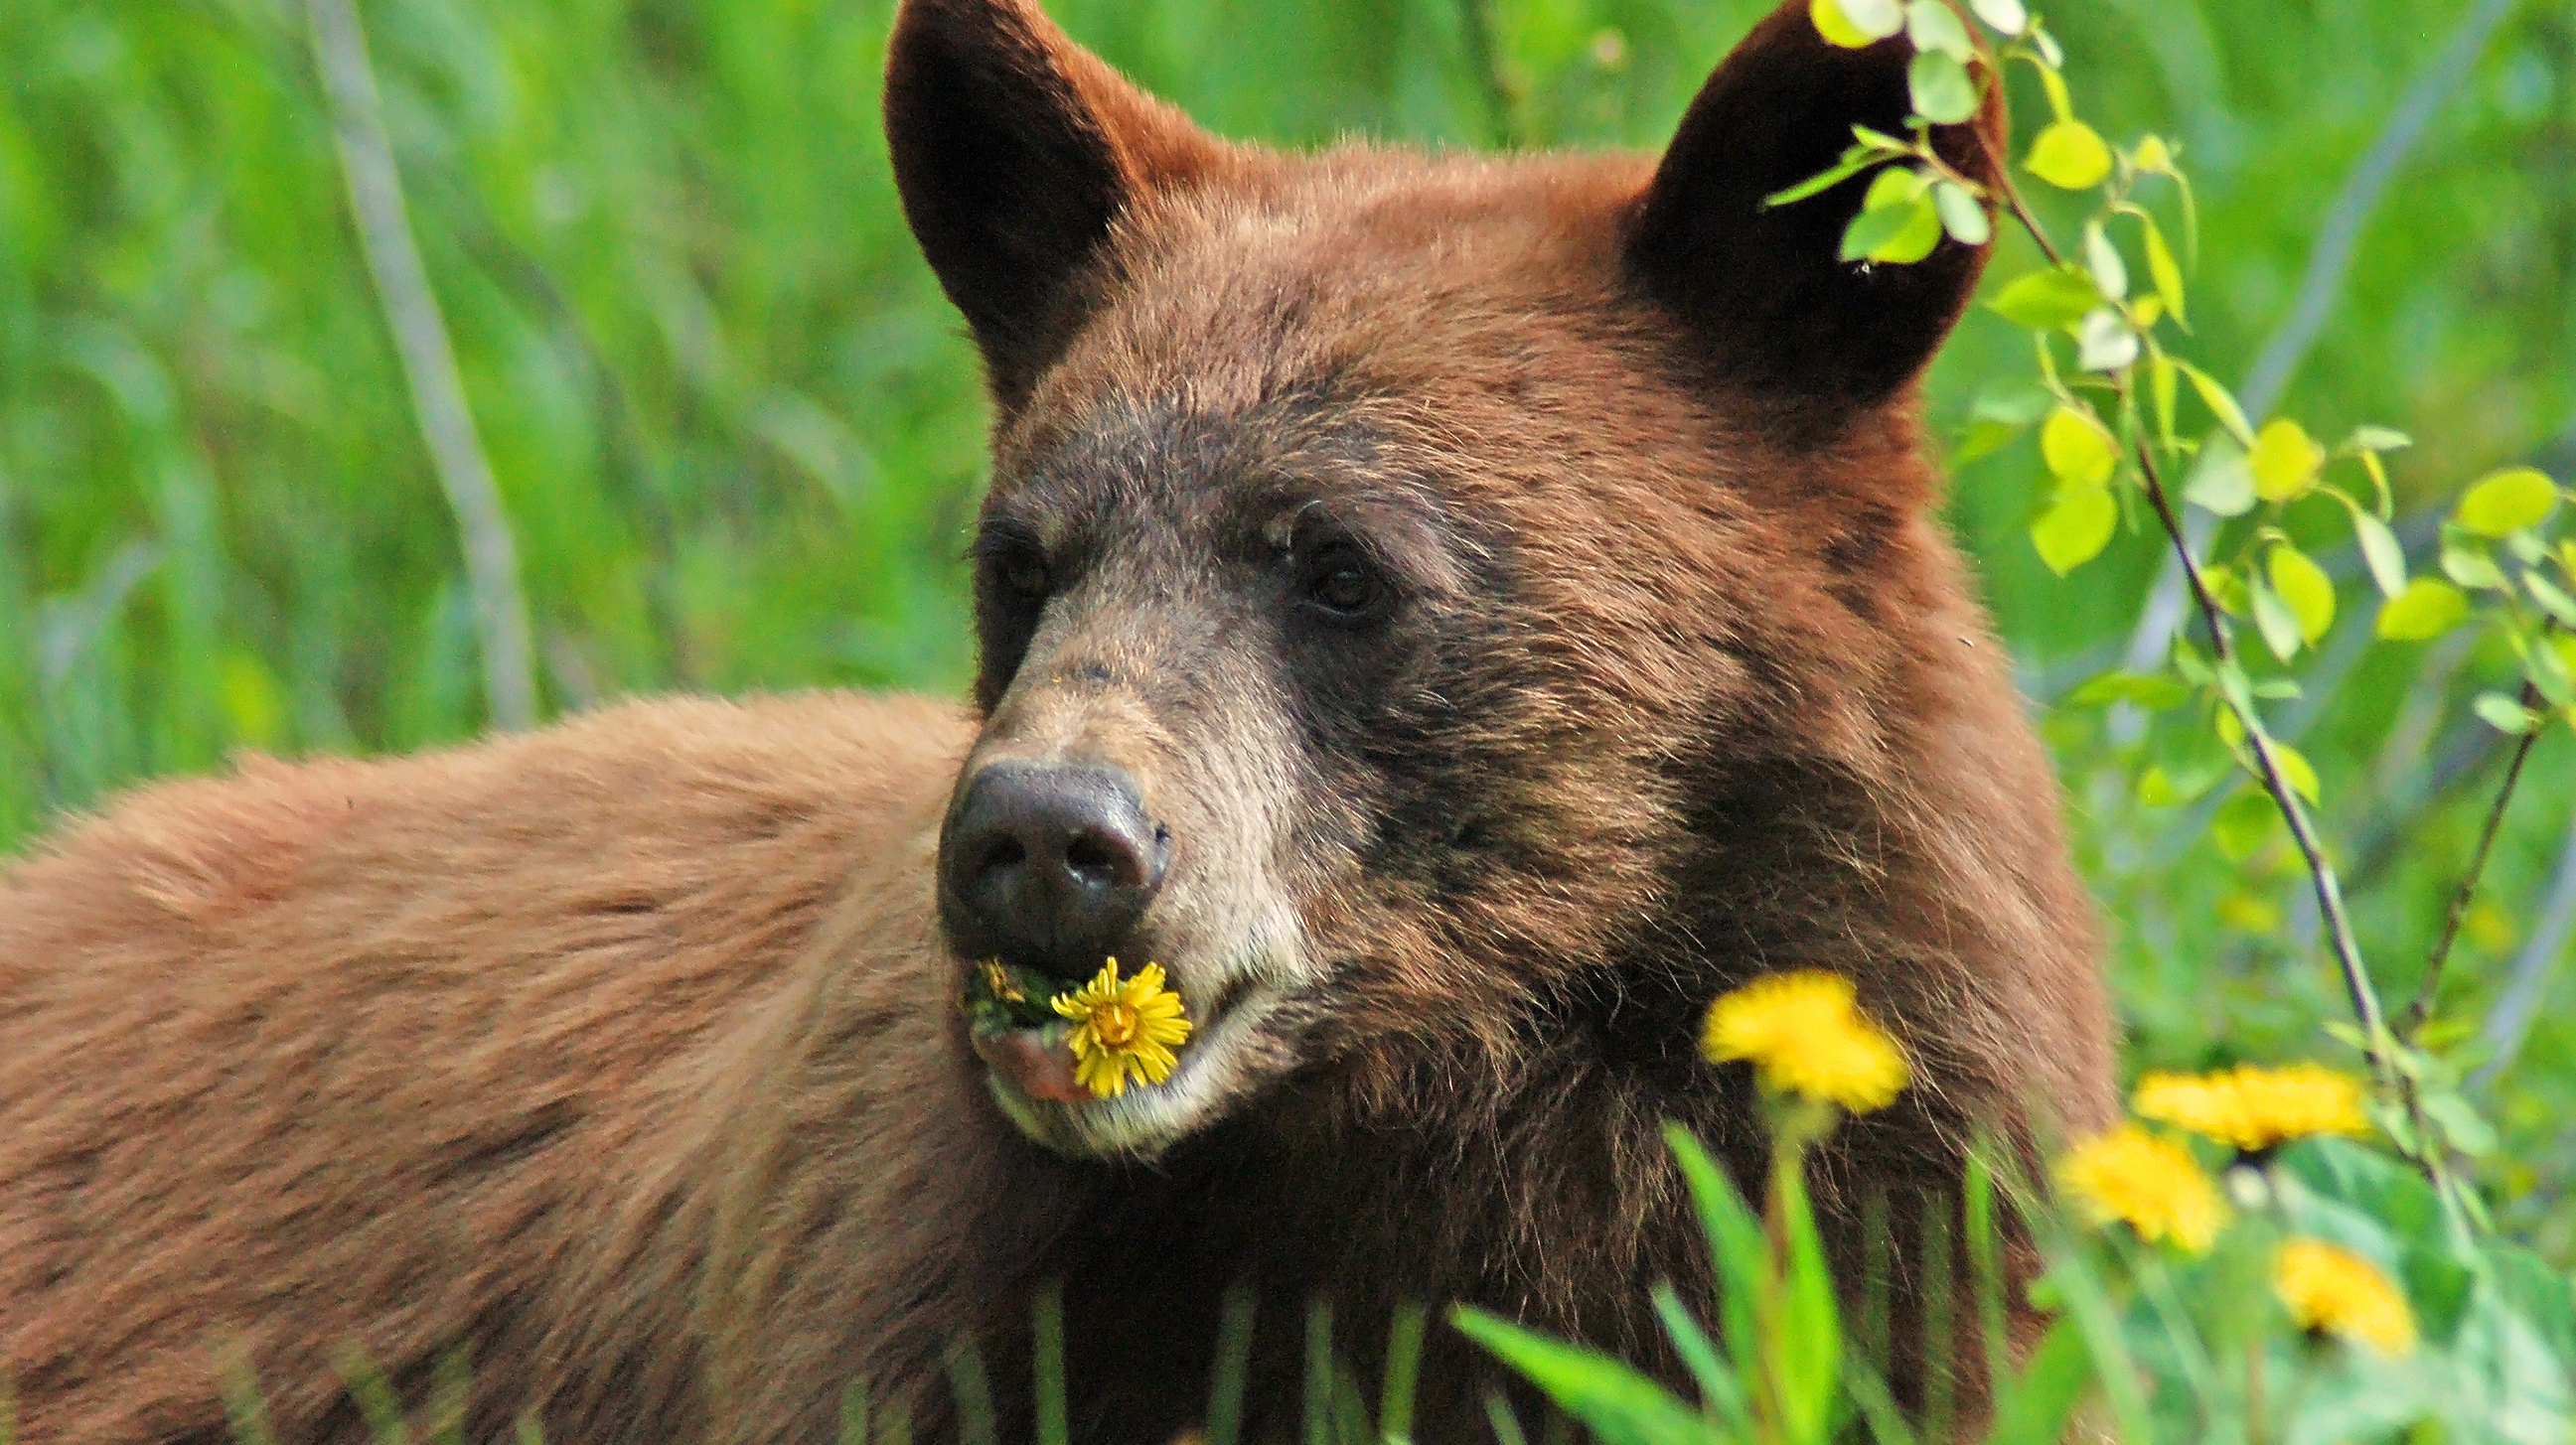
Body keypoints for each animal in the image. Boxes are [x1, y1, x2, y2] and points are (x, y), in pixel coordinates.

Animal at [0, 0, 2112, 1432]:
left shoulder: (1910, 1248)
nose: (1041, 838)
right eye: (1020, 559)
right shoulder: (944, 1308)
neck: (1452, 1151)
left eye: (1340, 567)